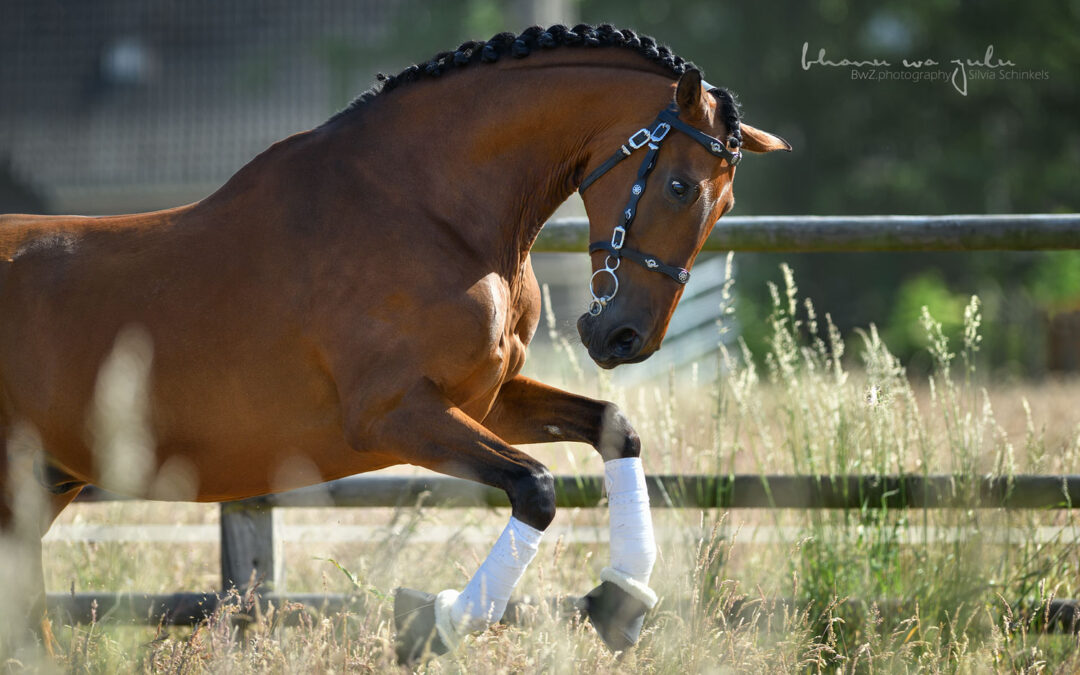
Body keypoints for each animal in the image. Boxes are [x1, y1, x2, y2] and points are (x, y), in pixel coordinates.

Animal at [4, 23, 790, 660]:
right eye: (681, 186)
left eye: (725, 202)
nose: (624, 336)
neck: (431, 211)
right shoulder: (393, 416)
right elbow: (535, 488)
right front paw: (433, 623)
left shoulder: (489, 399)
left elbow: (615, 428)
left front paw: (619, 601)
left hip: (43, 485)